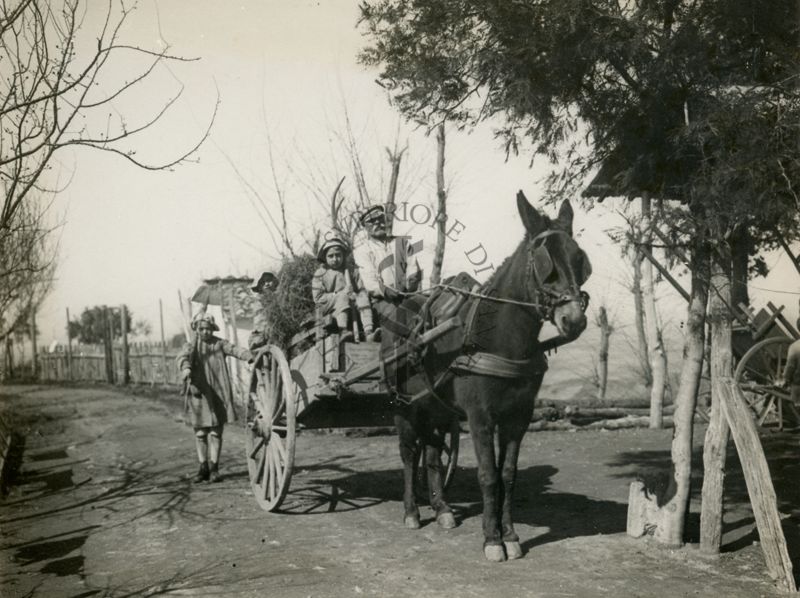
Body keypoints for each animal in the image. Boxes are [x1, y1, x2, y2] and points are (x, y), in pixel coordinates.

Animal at [384, 192, 592, 564]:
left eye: (579, 259)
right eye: (545, 263)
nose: (574, 320)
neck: (500, 339)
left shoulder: (518, 417)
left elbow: (507, 475)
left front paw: (509, 535)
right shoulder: (480, 417)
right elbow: (487, 476)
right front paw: (492, 539)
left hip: (437, 408)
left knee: (433, 454)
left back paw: (442, 508)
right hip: (404, 406)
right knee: (409, 455)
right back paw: (411, 511)